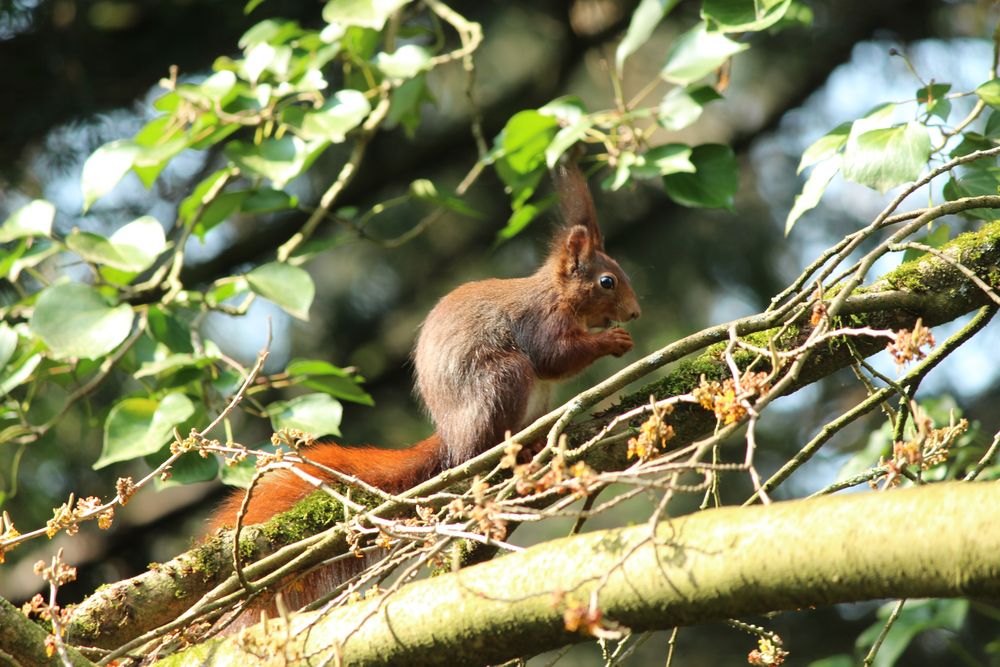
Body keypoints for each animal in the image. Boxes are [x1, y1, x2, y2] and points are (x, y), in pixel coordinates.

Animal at [206, 159, 640, 588]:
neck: (558, 295)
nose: (635, 313)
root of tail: (451, 436)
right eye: (607, 281)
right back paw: (517, 449)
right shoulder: (541, 321)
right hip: (503, 380)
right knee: (482, 443)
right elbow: (554, 358)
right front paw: (611, 340)